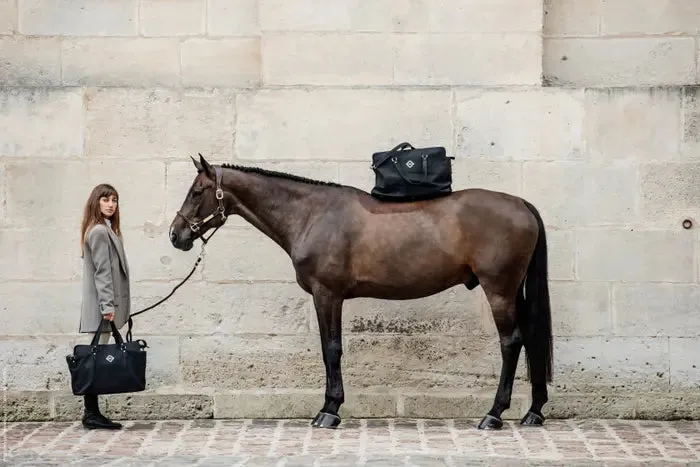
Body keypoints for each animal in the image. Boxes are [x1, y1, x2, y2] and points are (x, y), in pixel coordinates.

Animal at [170, 154, 552, 432]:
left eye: (197, 192)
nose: (176, 235)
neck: (310, 214)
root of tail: (522, 204)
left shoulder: (327, 294)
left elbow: (331, 349)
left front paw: (329, 411)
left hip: (499, 290)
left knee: (511, 342)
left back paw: (494, 414)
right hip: (514, 292)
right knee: (532, 339)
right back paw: (533, 412)